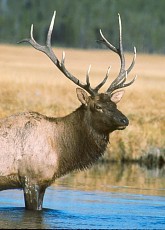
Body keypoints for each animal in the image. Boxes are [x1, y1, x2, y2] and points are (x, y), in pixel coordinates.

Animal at [0, 12, 137, 210]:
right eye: (98, 106)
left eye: (115, 105)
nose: (124, 120)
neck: (61, 153)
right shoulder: (30, 179)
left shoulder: (43, 184)